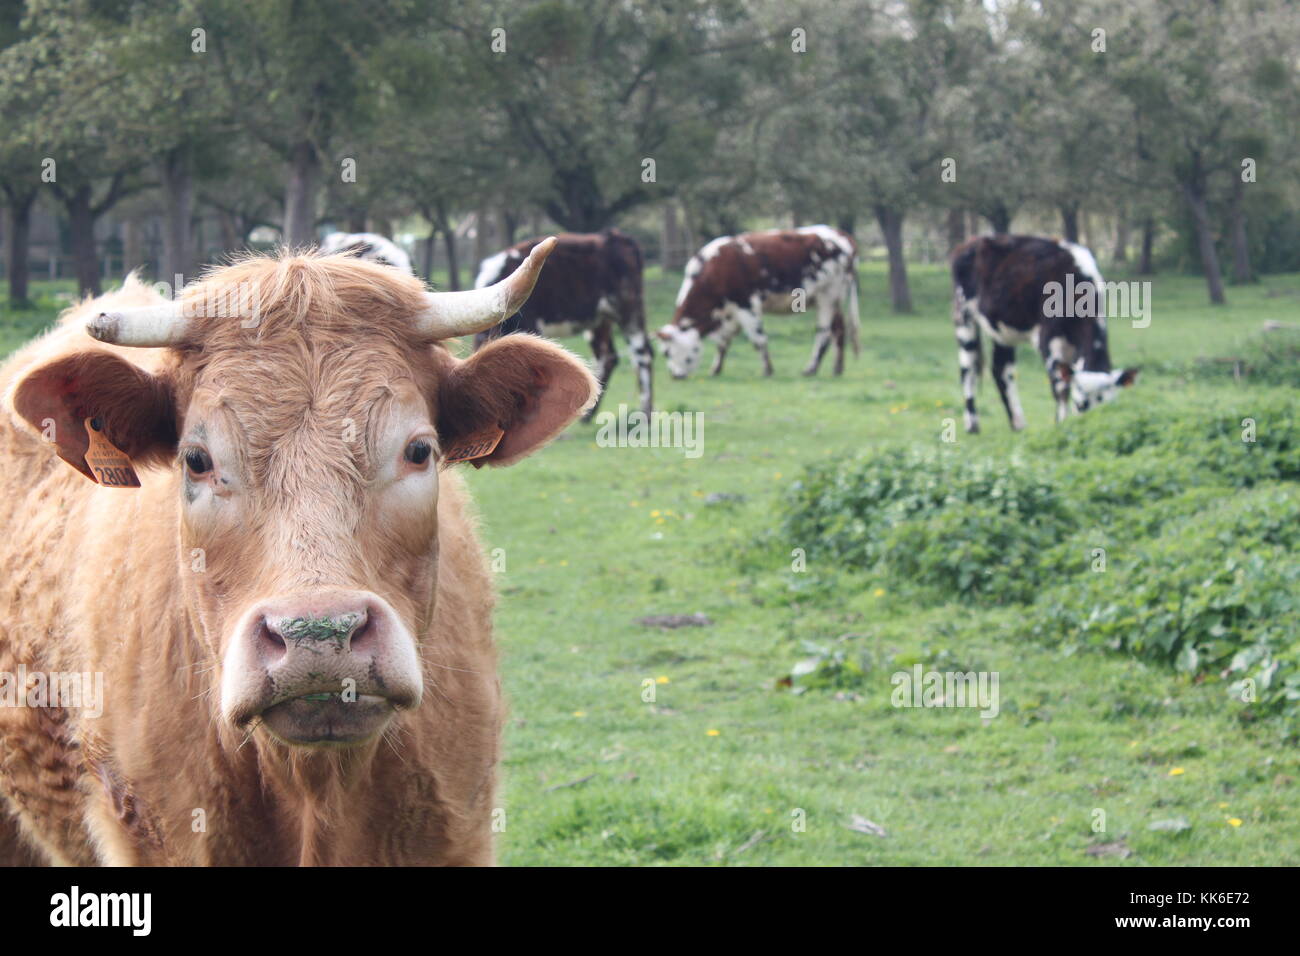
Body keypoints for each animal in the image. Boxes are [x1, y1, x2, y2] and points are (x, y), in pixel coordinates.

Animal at [473, 229, 651, 418]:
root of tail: (617, 236)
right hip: (599, 319)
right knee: (606, 356)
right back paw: (588, 414)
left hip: (628, 309)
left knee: (642, 353)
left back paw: (646, 413)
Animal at [656, 225, 860, 379]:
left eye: (668, 352)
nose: (675, 375)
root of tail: (841, 234)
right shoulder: (730, 312)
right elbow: (723, 341)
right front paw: (716, 369)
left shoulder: (746, 305)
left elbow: (758, 339)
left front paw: (768, 370)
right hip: (833, 300)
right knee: (839, 330)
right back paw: (837, 368)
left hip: (827, 296)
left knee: (823, 334)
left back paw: (811, 369)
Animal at [950, 234, 1139, 432]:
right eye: (1080, 405)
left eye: (1109, 405)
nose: (1092, 424)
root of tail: (973, 241)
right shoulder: (1049, 341)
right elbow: (1061, 388)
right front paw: (1061, 424)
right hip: (963, 316)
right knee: (968, 370)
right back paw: (972, 424)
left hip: (1002, 331)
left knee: (1001, 371)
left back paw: (1018, 424)